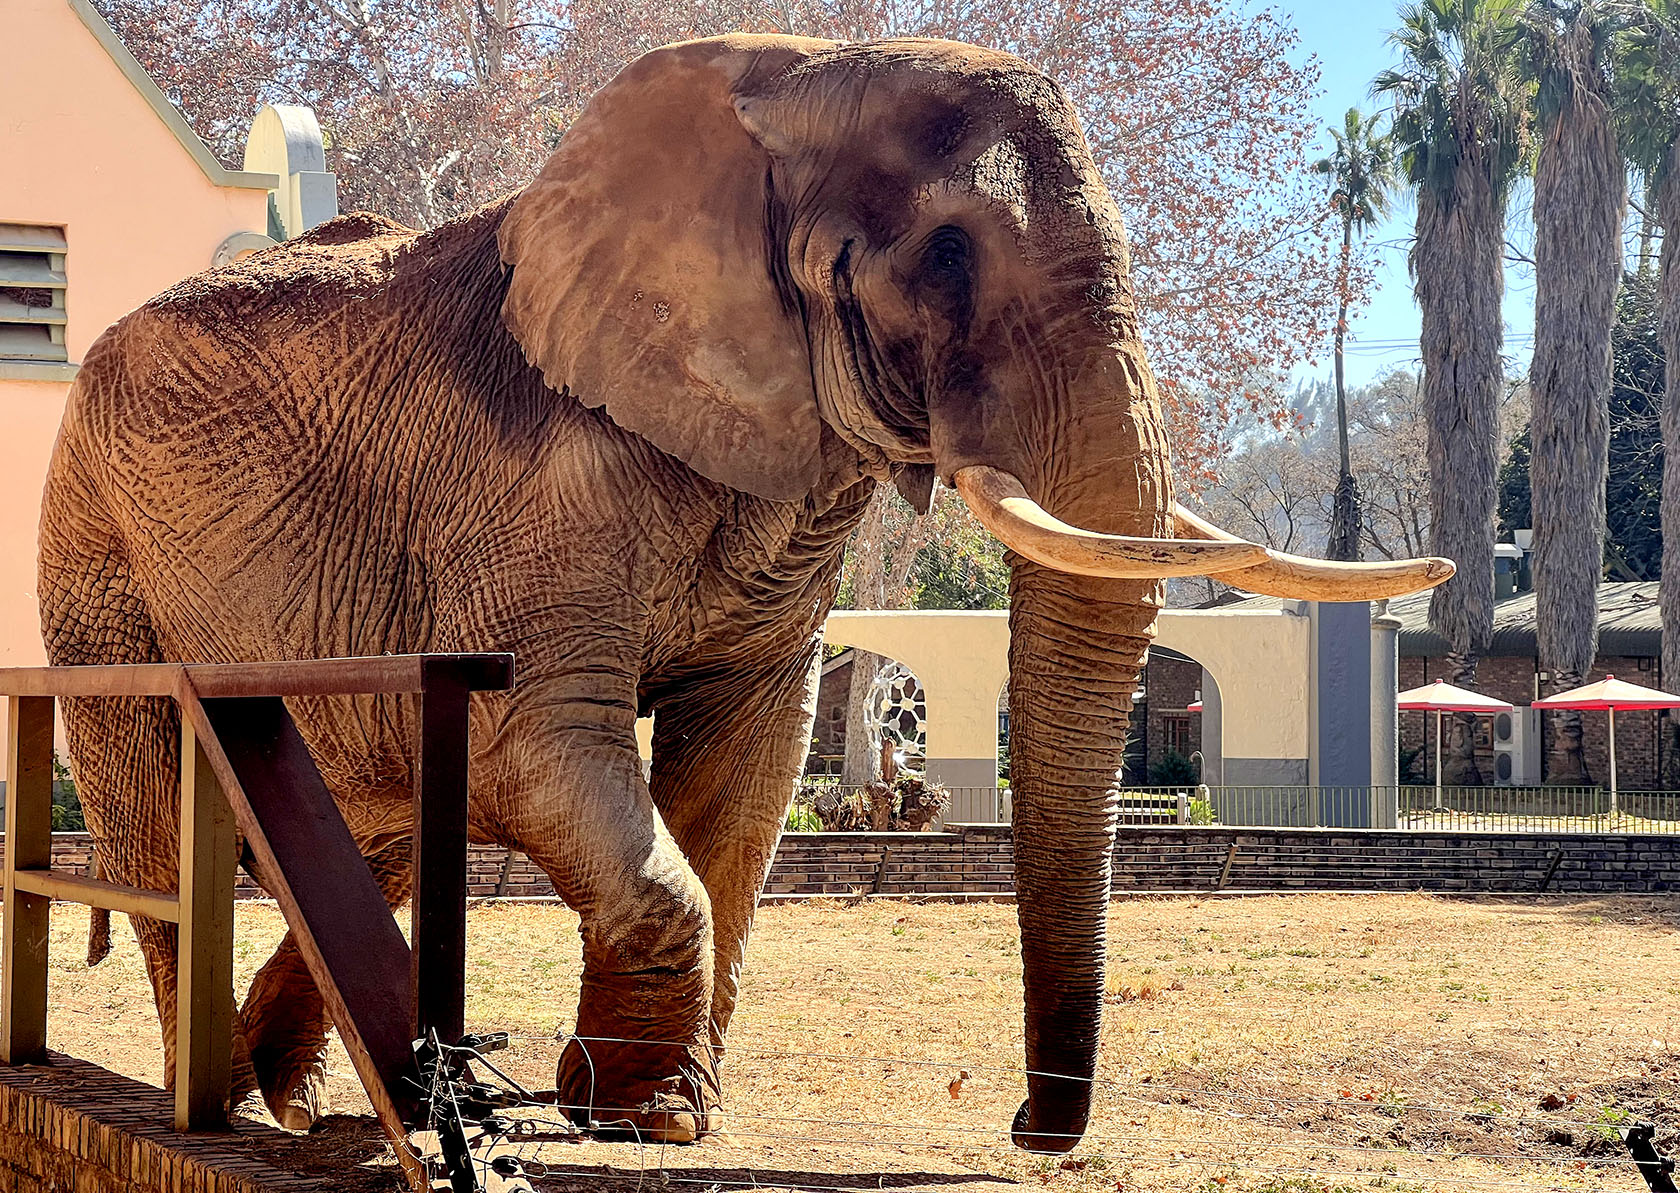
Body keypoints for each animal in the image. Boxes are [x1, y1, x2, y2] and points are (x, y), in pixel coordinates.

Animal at [38, 33, 1452, 1151]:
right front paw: (642, 1113)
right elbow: (532, 738)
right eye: (948, 253)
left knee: (358, 824)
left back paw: (292, 1103)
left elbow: (746, 759)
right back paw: (213, 1104)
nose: (1020, 1122)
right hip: (93, 546)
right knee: (163, 820)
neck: (789, 76)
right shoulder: (529, 481)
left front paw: (650, 1111)